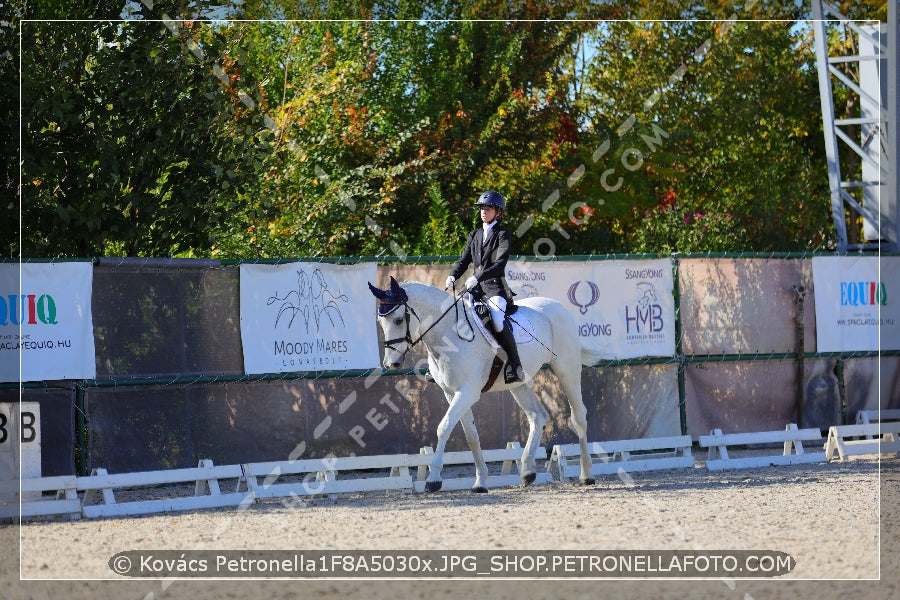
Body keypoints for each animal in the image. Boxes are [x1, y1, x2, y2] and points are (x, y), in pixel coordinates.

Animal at [370, 276, 596, 492]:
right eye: (381, 322)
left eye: (399, 320)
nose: (391, 363)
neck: (450, 333)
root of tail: (557, 306)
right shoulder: (452, 393)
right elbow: (471, 436)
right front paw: (480, 482)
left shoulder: (468, 392)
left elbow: (444, 427)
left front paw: (433, 480)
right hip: (519, 384)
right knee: (537, 416)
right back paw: (527, 472)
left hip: (567, 370)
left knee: (579, 417)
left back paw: (586, 475)